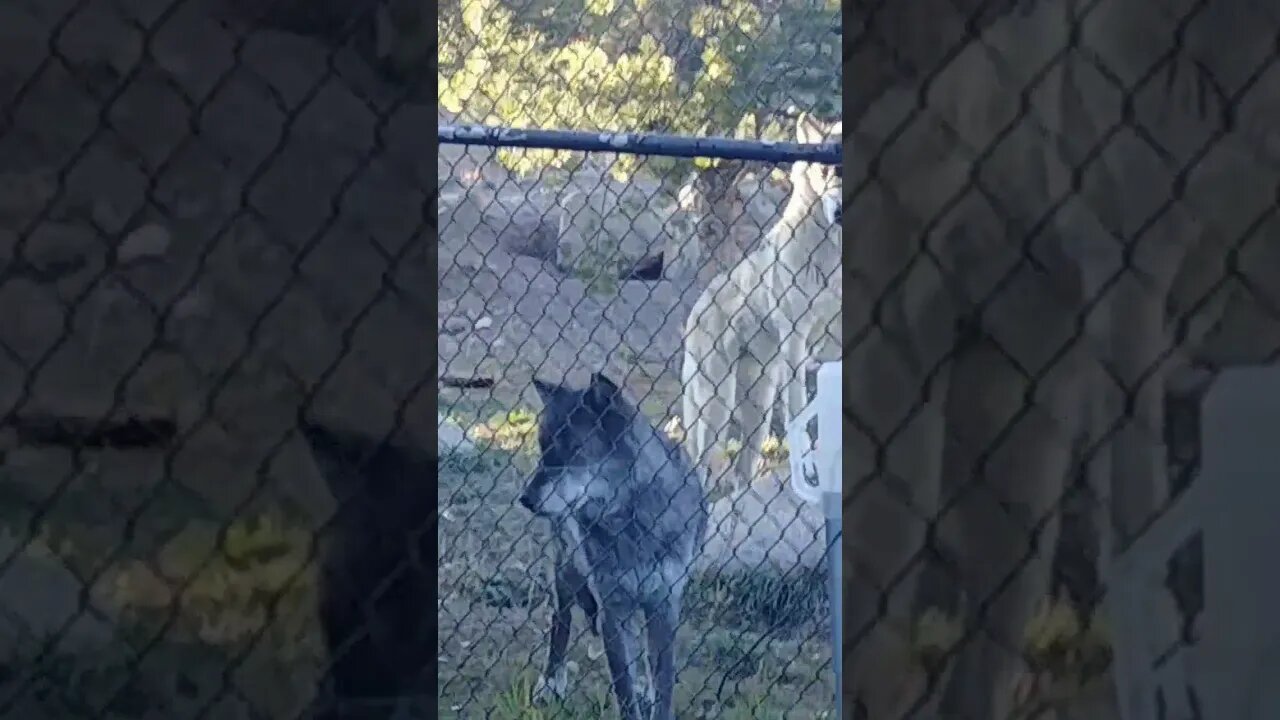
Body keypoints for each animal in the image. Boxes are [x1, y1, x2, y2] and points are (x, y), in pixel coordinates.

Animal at [517, 368, 711, 717]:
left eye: (572, 449)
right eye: (542, 448)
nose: (525, 499)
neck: (631, 521)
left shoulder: (664, 606)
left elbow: (663, 683)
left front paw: (653, 697)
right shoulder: (612, 611)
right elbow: (624, 690)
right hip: (567, 569)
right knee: (561, 619)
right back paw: (552, 682)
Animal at [680, 113, 839, 491]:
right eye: (827, 171)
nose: (839, 211)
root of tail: (695, 310)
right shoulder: (796, 343)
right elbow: (800, 414)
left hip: (759, 406)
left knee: (744, 470)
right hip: (717, 407)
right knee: (700, 462)